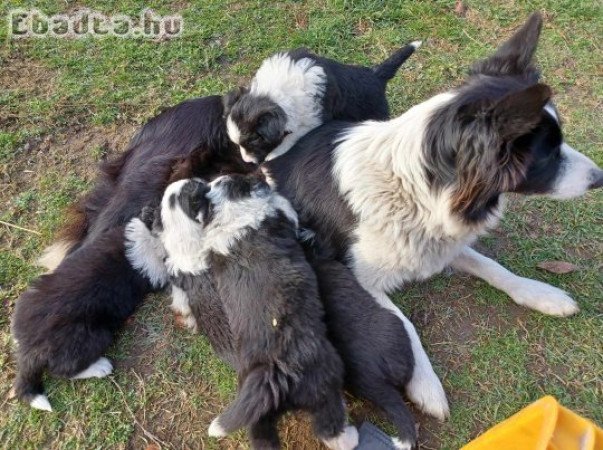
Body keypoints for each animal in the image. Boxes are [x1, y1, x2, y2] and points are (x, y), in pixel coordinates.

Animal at [124, 175, 356, 450]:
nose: (200, 179)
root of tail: (273, 371)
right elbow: (284, 207)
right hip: (324, 380)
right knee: (330, 423)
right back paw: (349, 435)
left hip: (257, 411)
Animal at [224, 41, 422, 164]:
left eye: (254, 141)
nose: (248, 161)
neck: (274, 92)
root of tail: (376, 76)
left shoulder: (314, 120)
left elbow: (293, 136)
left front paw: (274, 154)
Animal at [266, 13, 603, 422]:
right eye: (549, 154)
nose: (599, 178)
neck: (411, 189)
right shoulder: (357, 274)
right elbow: (405, 323)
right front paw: (425, 386)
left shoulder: (439, 242)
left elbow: (494, 268)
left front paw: (540, 293)